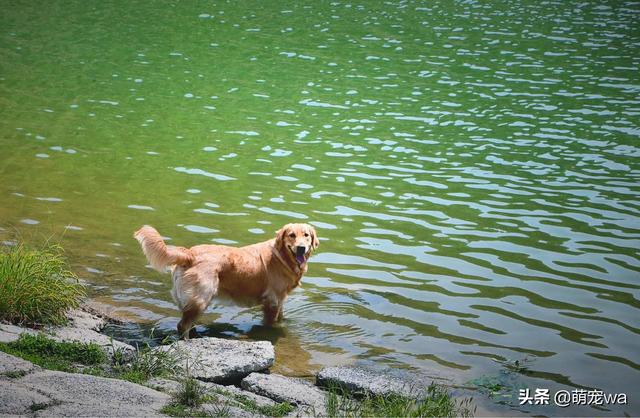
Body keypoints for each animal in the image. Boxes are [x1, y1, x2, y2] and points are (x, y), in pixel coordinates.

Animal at [133, 224, 320, 338]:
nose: (301, 248)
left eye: (306, 235)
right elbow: (270, 323)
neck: (281, 257)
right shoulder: (272, 300)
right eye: (291, 235)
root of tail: (189, 253)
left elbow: (280, 317)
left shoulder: (280, 299)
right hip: (201, 298)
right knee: (182, 325)